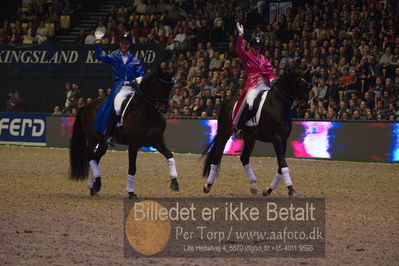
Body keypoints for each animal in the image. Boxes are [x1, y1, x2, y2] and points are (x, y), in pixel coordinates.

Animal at [70, 67, 180, 198]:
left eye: (171, 86)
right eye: (158, 84)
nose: (164, 109)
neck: (148, 112)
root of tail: (87, 105)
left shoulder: (156, 141)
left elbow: (170, 155)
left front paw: (174, 183)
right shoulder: (133, 144)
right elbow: (132, 167)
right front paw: (131, 193)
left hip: (103, 143)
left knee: (95, 159)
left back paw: (93, 187)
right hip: (92, 139)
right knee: (90, 157)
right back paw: (96, 185)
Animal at [203, 68, 312, 196]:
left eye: (309, 85)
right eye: (302, 84)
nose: (304, 103)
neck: (278, 104)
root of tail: (226, 101)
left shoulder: (283, 140)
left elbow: (281, 166)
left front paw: (268, 190)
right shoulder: (276, 139)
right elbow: (283, 164)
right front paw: (291, 189)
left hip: (250, 137)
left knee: (244, 158)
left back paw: (254, 186)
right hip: (224, 133)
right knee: (217, 156)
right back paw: (208, 185)